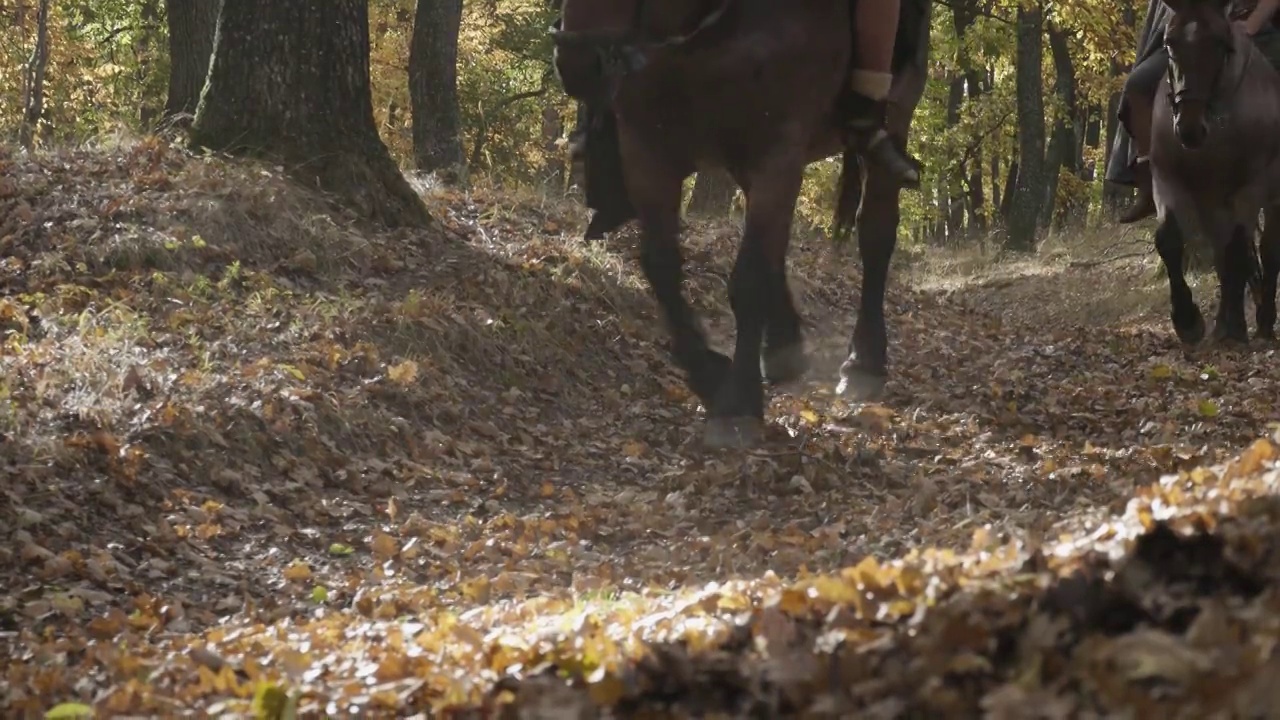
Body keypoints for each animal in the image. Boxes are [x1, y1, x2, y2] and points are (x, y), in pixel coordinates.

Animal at [550, 0, 931, 445]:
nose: (579, 62)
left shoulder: (776, 155)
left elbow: (748, 281)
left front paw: (738, 402)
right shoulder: (647, 155)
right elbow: (661, 267)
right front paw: (710, 374)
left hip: (892, 119)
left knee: (874, 233)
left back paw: (863, 363)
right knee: (776, 247)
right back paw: (783, 346)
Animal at [1157, 0, 1280, 340]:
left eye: (1221, 45)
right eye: (1169, 43)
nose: (1189, 129)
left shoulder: (1249, 187)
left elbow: (1239, 249)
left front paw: (1236, 328)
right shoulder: (1167, 178)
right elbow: (1169, 238)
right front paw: (1187, 321)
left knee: (1269, 249)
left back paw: (1263, 322)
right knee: (1222, 252)